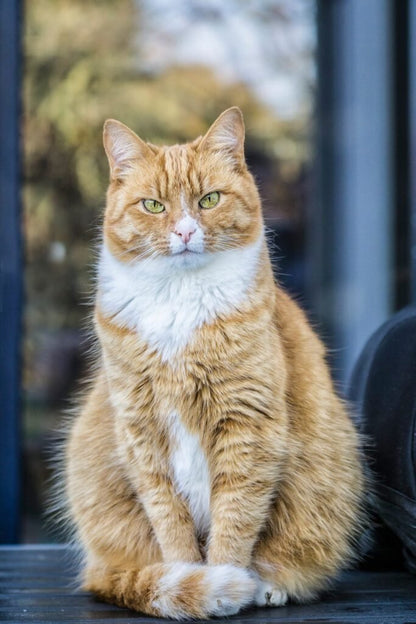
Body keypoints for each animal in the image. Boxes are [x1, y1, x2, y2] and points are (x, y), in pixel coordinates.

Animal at [63, 108, 366, 620]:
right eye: (153, 206)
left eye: (209, 200)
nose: (186, 231)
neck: (179, 301)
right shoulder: (142, 431)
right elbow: (171, 523)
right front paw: (193, 580)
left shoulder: (247, 424)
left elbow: (236, 518)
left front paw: (227, 582)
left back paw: (269, 586)